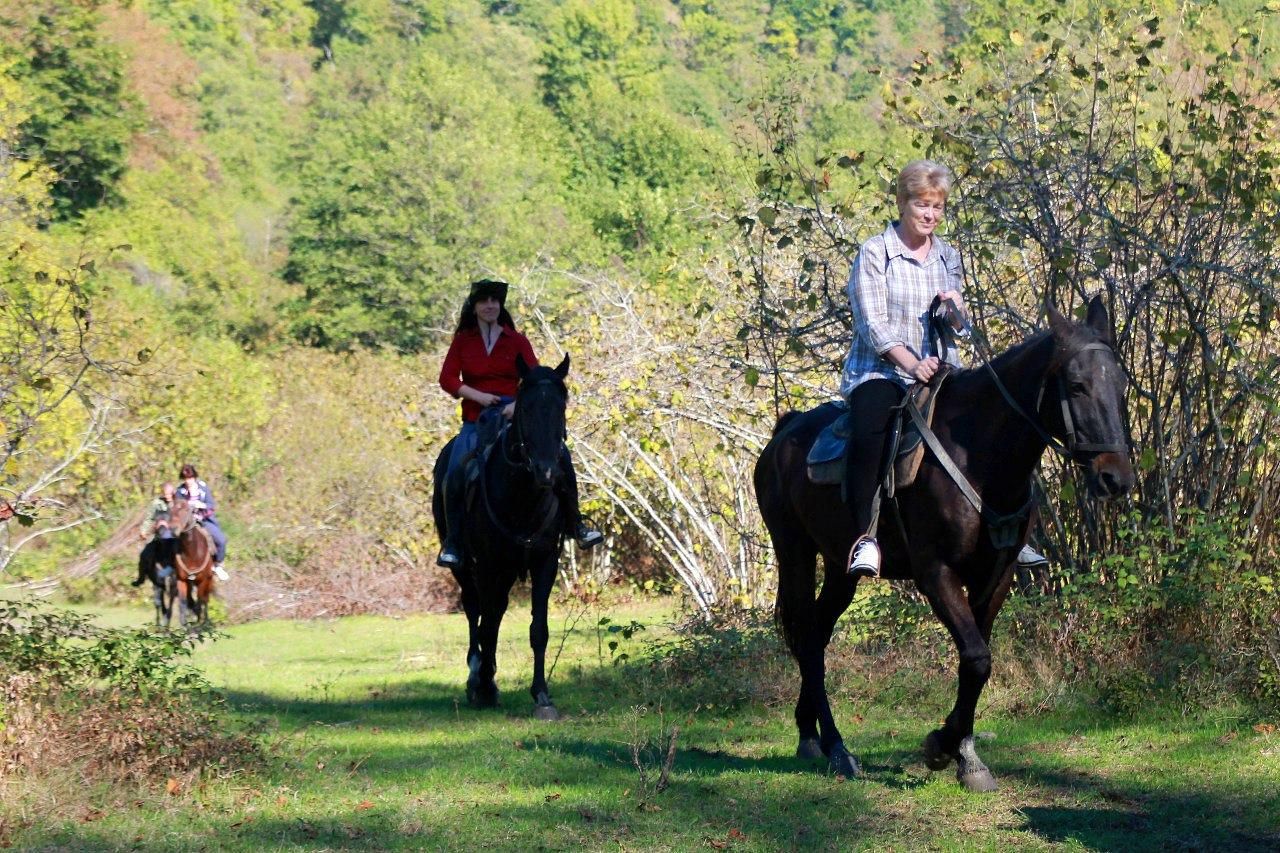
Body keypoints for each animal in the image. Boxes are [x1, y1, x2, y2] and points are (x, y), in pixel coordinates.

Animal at [430, 350, 570, 717]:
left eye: (562, 405)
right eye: (525, 408)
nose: (547, 472)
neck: (522, 497)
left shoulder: (545, 562)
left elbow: (538, 629)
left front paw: (542, 696)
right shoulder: (489, 564)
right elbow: (487, 622)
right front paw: (483, 685)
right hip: (466, 566)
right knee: (475, 609)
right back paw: (478, 675)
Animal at [752, 298, 1136, 788]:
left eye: (1120, 384)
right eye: (1077, 385)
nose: (1115, 478)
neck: (979, 456)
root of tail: (784, 433)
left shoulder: (997, 576)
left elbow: (976, 661)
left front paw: (965, 755)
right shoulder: (936, 573)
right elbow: (976, 658)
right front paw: (940, 745)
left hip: (841, 568)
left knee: (815, 635)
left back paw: (810, 735)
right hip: (794, 552)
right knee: (805, 633)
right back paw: (838, 748)